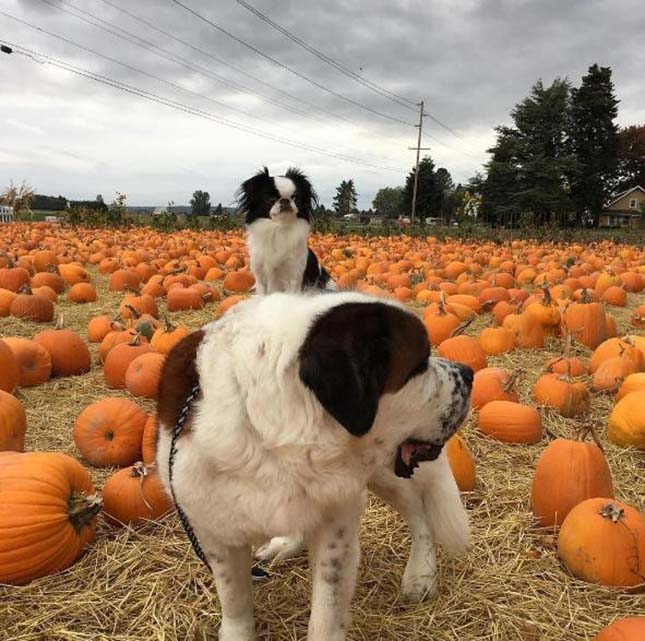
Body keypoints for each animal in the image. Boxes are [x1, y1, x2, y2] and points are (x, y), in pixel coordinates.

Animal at [154, 292, 470, 640]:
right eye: (419, 365)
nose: (469, 372)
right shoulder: (215, 532)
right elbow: (235, 600)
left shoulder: (336, 530)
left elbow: (325, 611)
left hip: (385, 470)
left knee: (419, 512)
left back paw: (420, 574)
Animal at [239, 166, 334, 294]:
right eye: (271, 199)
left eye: (295, 198)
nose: (285, 200)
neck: (279, 228)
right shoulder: (260, 275)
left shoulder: (293, 276)